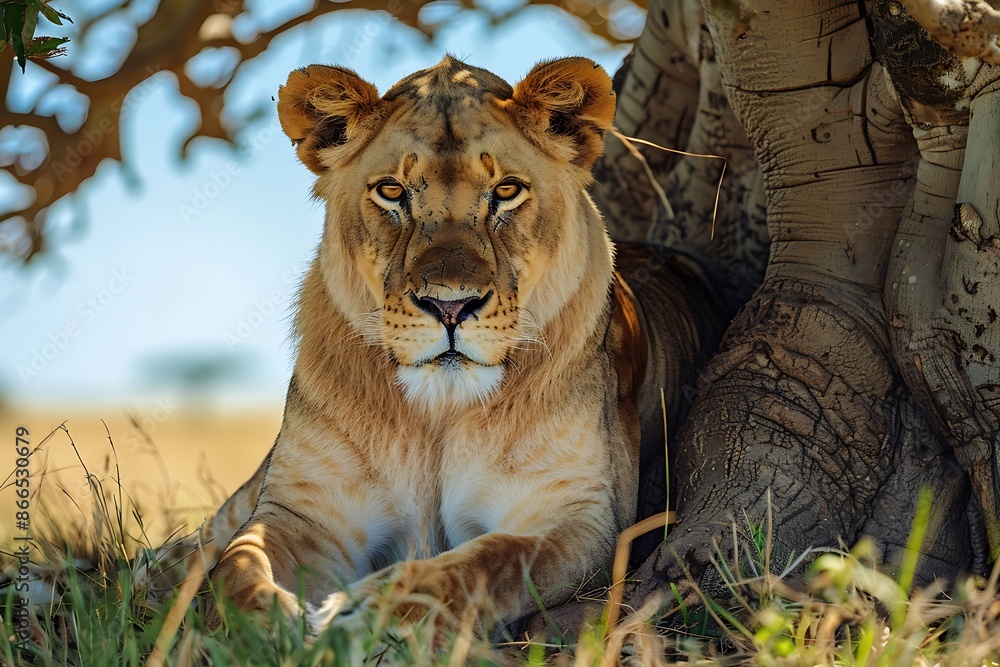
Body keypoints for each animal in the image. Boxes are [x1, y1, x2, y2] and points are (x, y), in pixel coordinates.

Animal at [200, 56, 723, 637]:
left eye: (507, 191)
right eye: (391, 192)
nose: (450, 306)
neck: (439, 412)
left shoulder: (580, 518)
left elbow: (480, 565)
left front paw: (361, 617)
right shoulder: (301, 509)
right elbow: (238, 568)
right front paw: (266, 630)